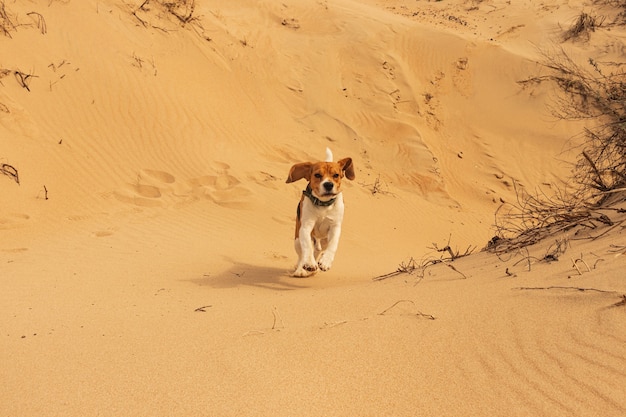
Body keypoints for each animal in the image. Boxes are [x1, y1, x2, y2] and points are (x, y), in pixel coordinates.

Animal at [286, 147, 354, 276]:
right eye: (317, 175)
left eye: (336, 175)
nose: (328, 184)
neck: (323, 204)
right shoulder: (306, 227)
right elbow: (307, 246)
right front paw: (309, 263)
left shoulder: (335, 227)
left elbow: (333, 245)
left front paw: (326, 261)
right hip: (297, 240)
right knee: (302, 254)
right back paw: (300, 270)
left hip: (323, 241)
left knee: (318, 251)